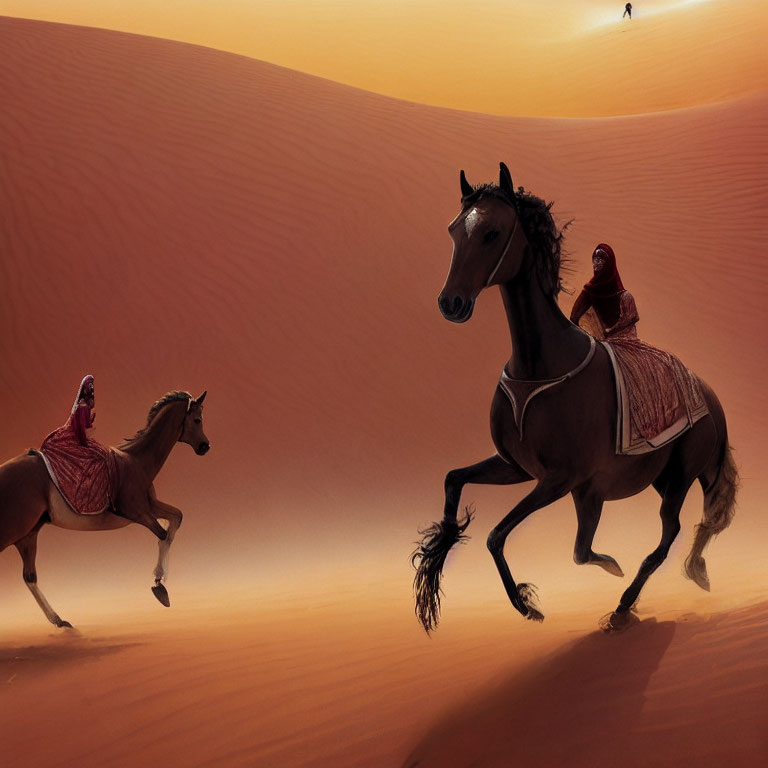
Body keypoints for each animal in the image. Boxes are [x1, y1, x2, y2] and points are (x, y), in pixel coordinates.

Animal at [0, 390, 210, 624]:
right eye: (197, 420)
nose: (205, 446)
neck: (137, 460)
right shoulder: (135, 511)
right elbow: (163, 534)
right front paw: (159, 585)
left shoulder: (151, 506)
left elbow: (176, 519)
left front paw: (162, 580)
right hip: (13, 530)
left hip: (27, 534)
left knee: (29, 576)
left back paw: (59, 621)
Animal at [414, 165, 736, 632]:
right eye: (455, 230)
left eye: (493, 232)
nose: (450, 302)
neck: (540, 363)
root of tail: (711, 396)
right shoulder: (519, 468)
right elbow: (453, 480)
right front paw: (436, 557)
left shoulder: (564, 479)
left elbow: (499, 536)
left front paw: (528, 605)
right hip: (655, 480)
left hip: (679, 477)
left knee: (669, 533)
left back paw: (624, 604)